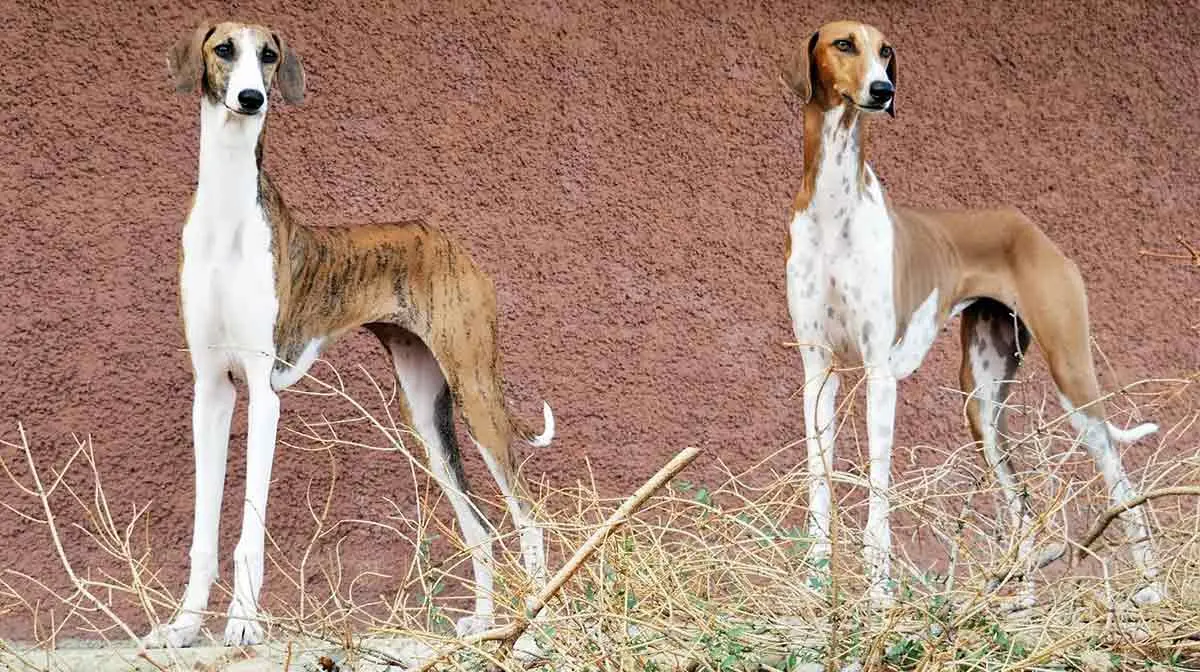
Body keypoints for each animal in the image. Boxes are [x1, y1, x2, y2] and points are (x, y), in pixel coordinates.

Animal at [145, 21, 552, 648]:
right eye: (224, 50)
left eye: (269, 55)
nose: (251, 99)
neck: (227, 217)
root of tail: (452, 244)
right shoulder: (211, 390)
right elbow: (203, 533)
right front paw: (185, 626)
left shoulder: (263, 393)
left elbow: (248, 531)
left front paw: (242, 624)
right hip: (425, 413)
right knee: (480, 524)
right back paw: (486, 623)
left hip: (476, 392)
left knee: (530, 517)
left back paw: (532, 633)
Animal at [777, 21, 1161, 609]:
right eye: (844, 44)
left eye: (885, 51)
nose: (883, 90)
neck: (834, 206)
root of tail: (1031, 228)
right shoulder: (818, 370)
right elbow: (819, 482)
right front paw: (817, 588)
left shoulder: (879, 374)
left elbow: (878, 491)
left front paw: (879, 594)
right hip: (981, 402)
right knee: (1021, 505)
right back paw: (1020, 604)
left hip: (1072, 375)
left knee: (1122, 484)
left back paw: (1151, 591)